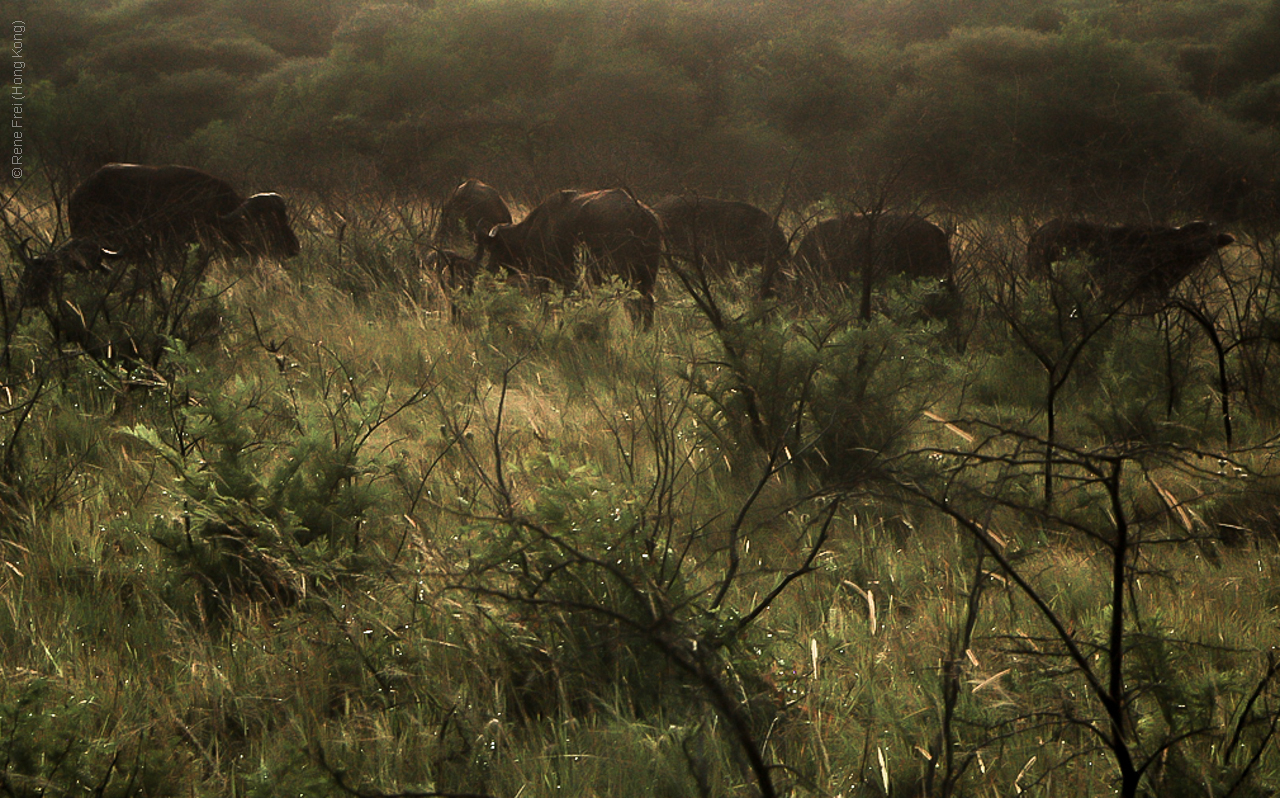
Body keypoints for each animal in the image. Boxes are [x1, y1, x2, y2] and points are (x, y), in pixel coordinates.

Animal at [481, 188, 660, 330]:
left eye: (494, 247)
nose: (489, 268)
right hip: (646, 277)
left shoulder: (547, 277)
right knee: (646, 305)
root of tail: (641, 214)